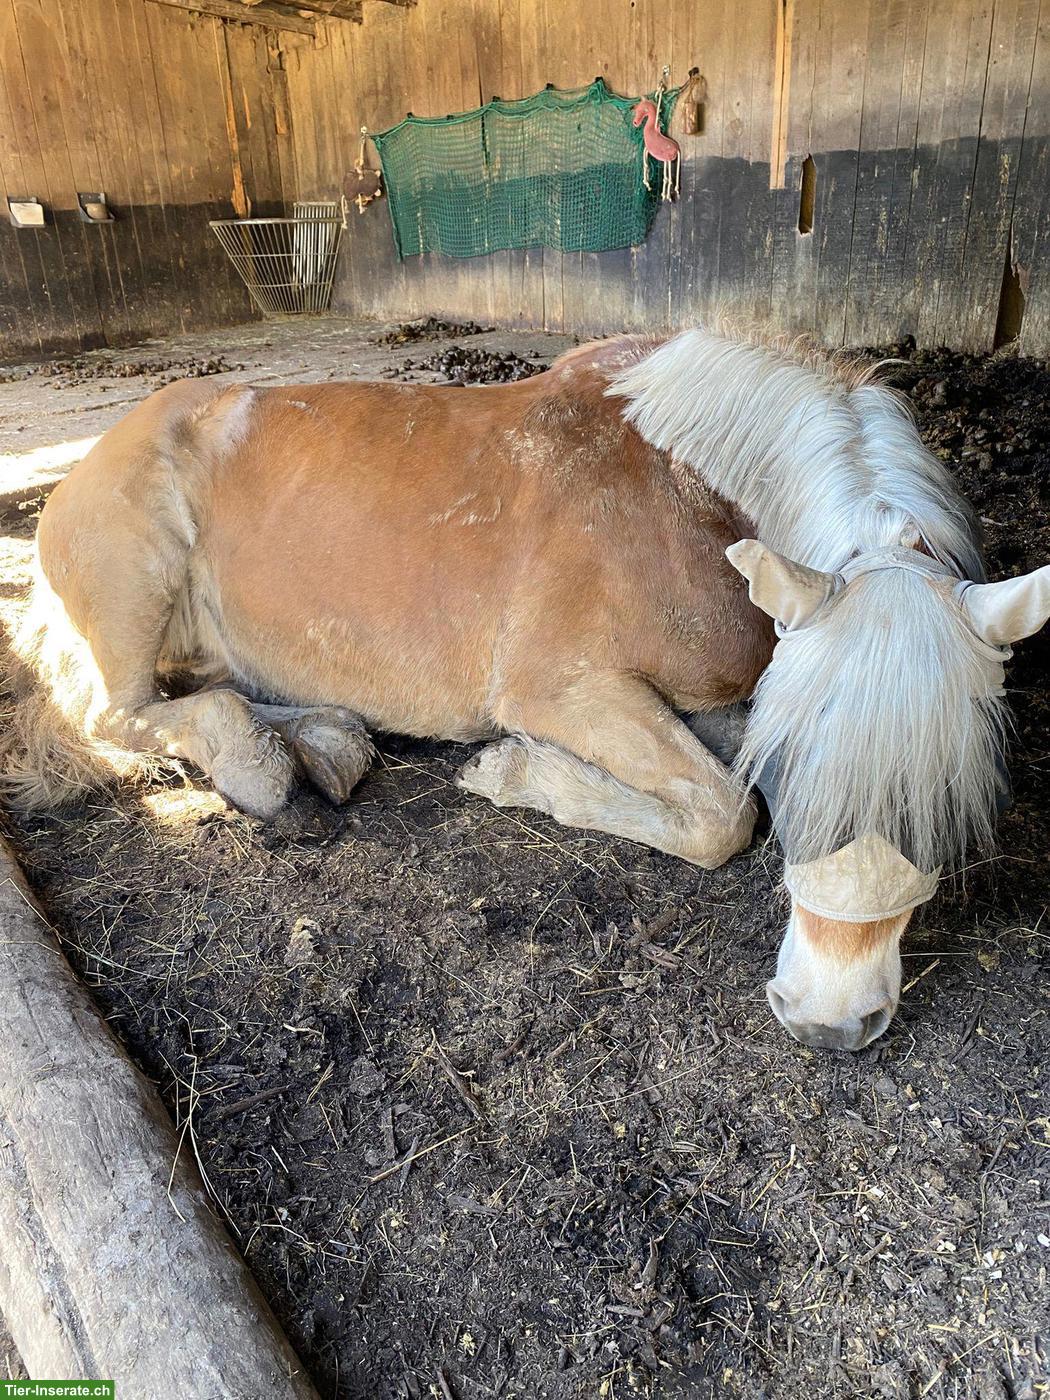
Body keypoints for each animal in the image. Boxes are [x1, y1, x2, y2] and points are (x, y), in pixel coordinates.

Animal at [4, 326, 1047, 1051]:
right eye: (803, 770)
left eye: (955, 793)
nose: (832, 1023)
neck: (682, 491)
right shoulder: (565, 690)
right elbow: (721, 814)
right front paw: (519, 774)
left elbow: (721, 778)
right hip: (132, 595)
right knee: (114, 715)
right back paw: (263, 767)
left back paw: (321, 745)